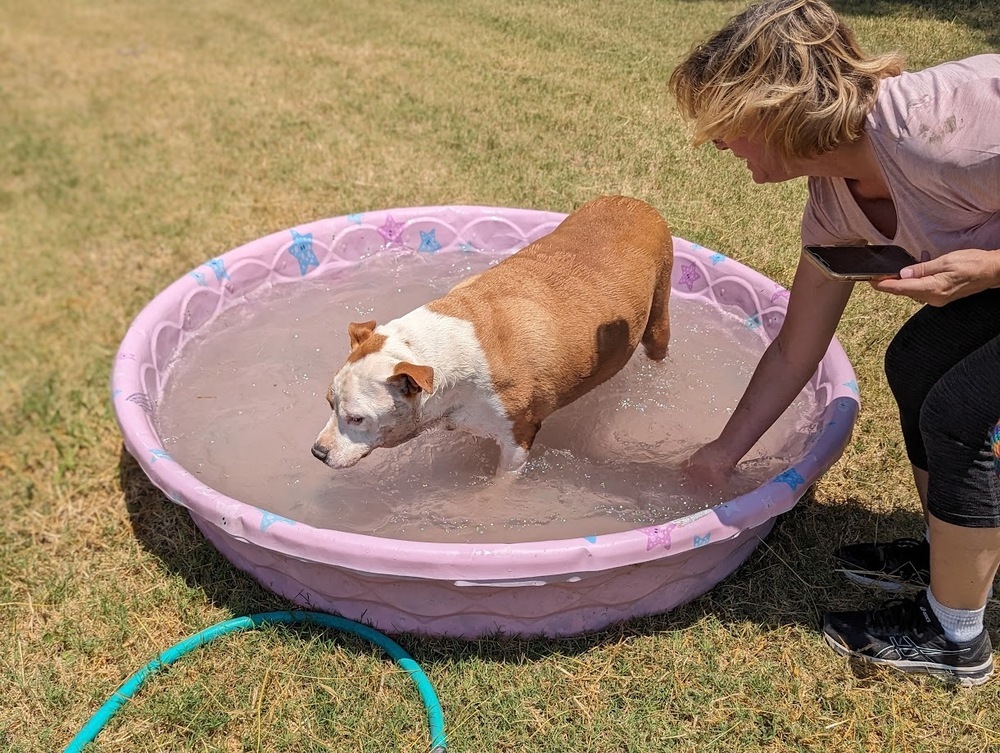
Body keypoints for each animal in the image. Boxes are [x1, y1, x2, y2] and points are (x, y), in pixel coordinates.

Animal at [308, 197, 676, 472]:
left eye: (357, 419)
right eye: (329, 403)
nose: (318, 452)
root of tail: (636, 202)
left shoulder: (517, 442)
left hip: (659, 310)